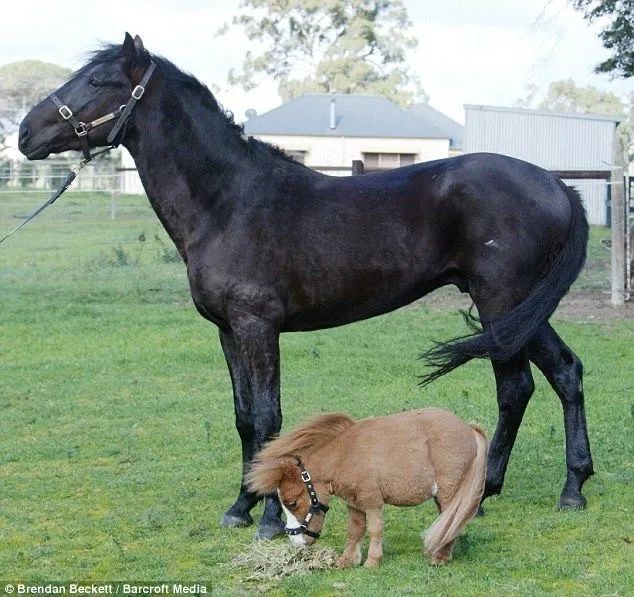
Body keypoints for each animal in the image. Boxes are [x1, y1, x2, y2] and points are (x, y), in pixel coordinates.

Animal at [19, 35, 592, 536]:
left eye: (98, 80)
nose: (25, 132)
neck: (228, 202)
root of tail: (556, 184)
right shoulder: (228, 331)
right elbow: (244, 418)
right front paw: (241, 506)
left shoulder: (258, 326)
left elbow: (268, 418)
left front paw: (273, 518)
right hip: (521, 310)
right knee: (565, 372)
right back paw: (568, 488)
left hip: (501, 303)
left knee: (515, 388)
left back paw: (491, 491)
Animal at [246, 408, 484, 564]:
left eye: (292, 503)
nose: (296, 542)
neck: (344, 456)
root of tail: (469, 429)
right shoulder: (354, 503)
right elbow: (355, 530)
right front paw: (348, 561)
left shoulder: (371, 501)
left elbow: (375, 529)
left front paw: (372, 561)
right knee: (447, 520)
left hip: (449, 491)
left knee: (452, 519)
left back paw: (440, 557)